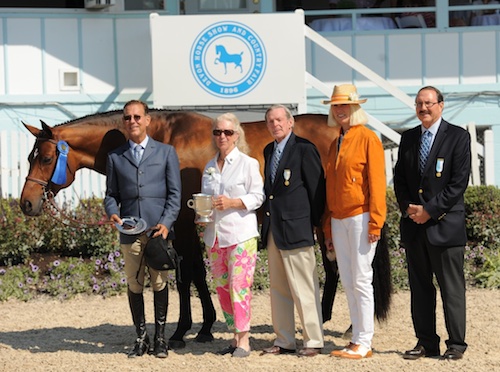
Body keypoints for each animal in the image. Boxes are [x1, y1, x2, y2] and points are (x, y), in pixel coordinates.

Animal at [17, 109, 390, 348]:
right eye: (29, 158)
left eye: (46, 158)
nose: (27, 203)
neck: (163, 138)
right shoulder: (175, 226)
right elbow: (189, 274)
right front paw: (198, 326)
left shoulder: (181, 223)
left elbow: (191, 273)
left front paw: (191, 329)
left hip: (326, 219)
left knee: (344, 267)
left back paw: (342, 325)